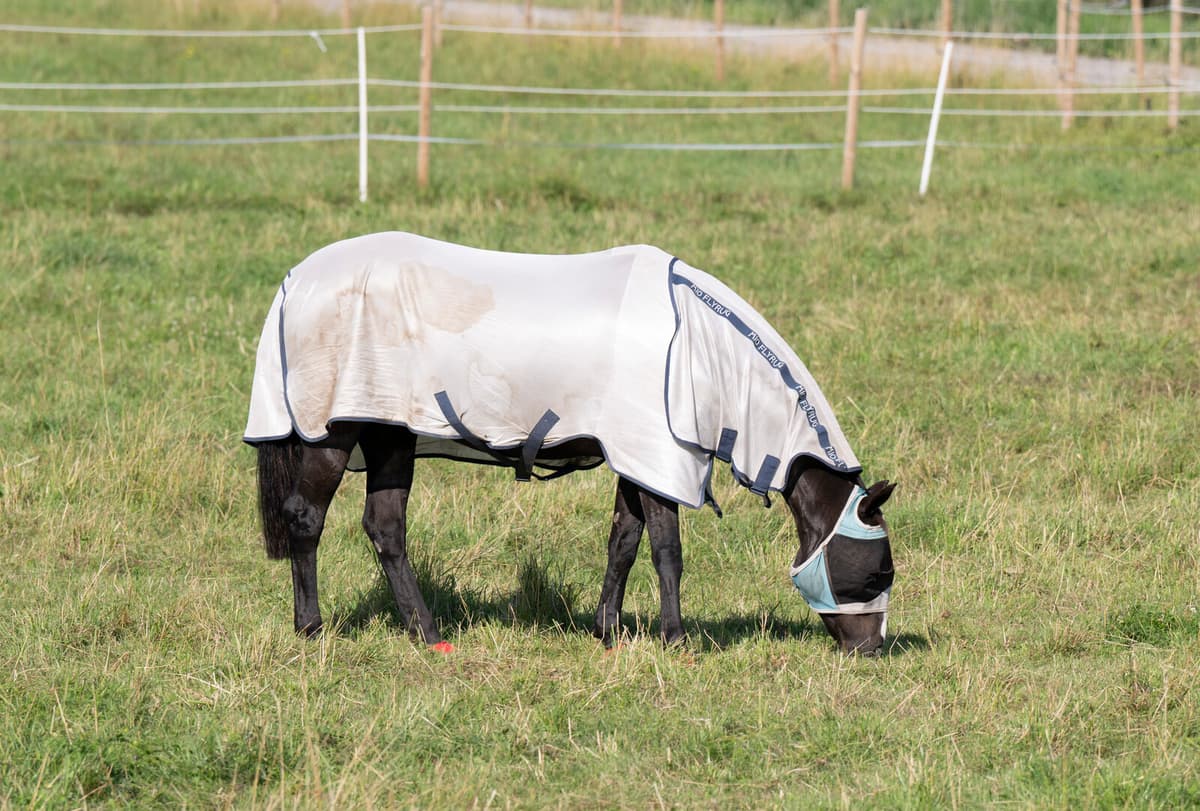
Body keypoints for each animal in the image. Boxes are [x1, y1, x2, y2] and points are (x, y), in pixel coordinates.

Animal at [246, 232, 896, 655]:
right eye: (877, 572)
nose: (869, 650)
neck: (701, 347)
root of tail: (294, 282)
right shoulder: (660, 456)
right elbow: (667, 550)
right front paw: (678, 641)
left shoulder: (636, 459)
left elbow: (624, 543)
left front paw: (609, 632)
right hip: (339, 431)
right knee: (305, 516)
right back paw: (312, 629)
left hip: (391, 433)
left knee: (384, 528)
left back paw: (428, 635)